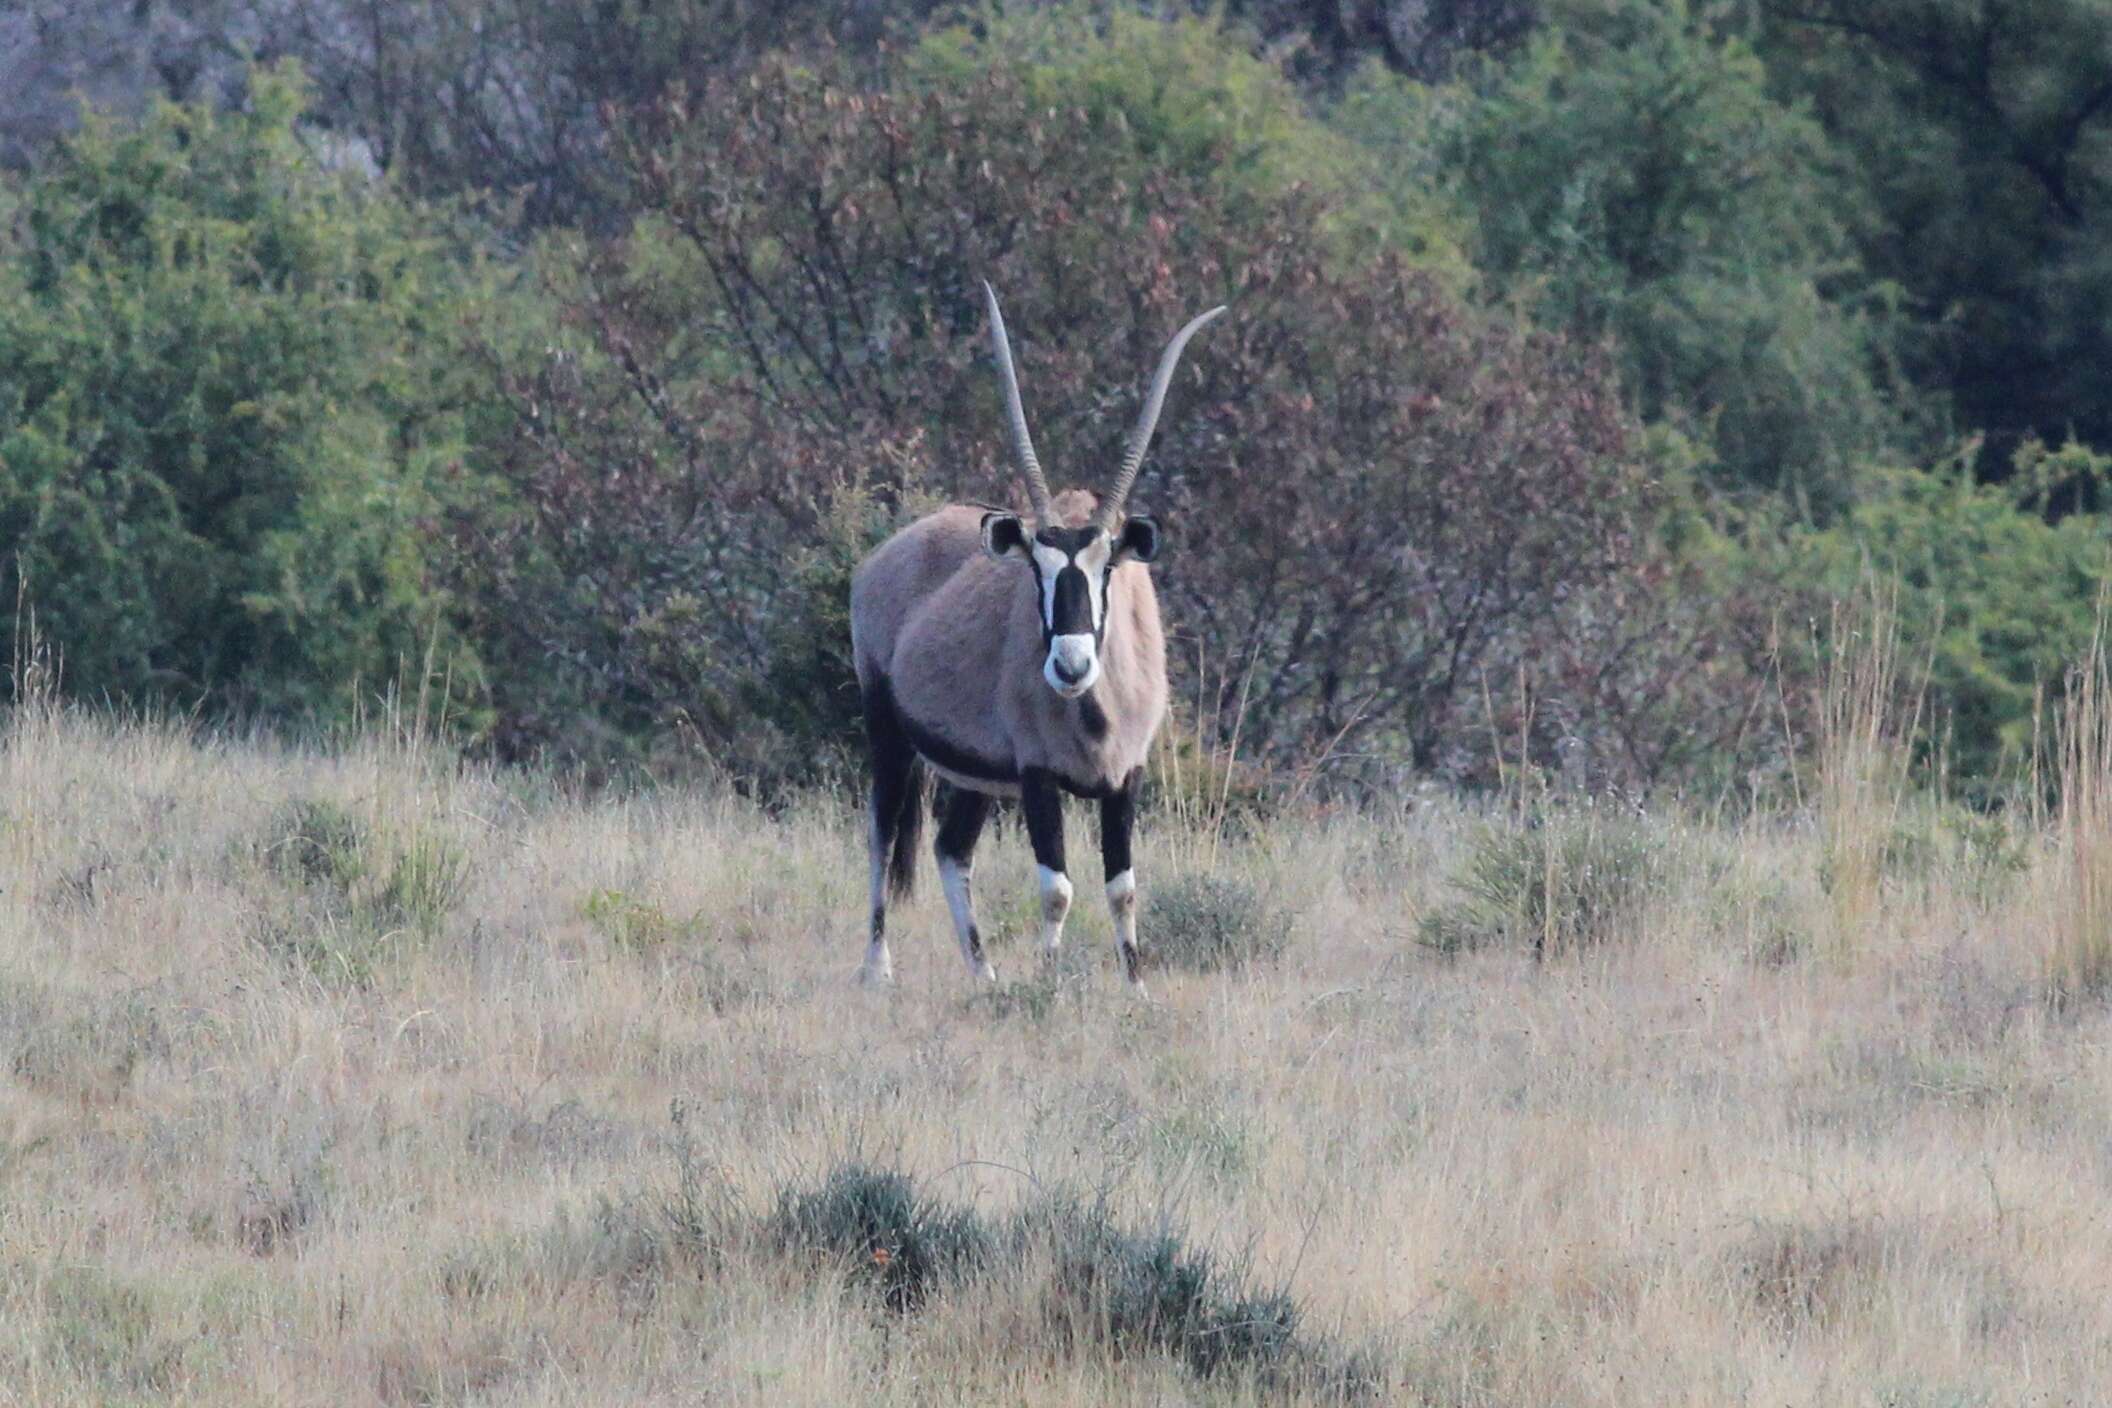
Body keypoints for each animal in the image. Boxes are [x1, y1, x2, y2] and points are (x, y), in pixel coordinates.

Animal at [853, 287, 1233, 992]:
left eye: (1107, 568)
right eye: (1038, 567)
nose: (1071, 665)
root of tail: (882, 557)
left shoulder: (1126, 777)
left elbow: (1122, 886)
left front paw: (1136, 989)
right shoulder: (1037, 777)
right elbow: (1057, 889)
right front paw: (1050, 984)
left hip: (975, 778)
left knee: (951, 849)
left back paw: (985, 976)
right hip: (887, 734)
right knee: (883, 838)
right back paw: (877, 971)